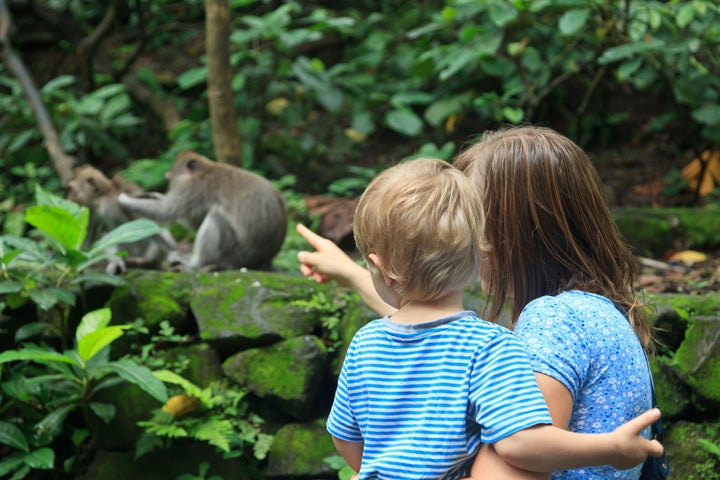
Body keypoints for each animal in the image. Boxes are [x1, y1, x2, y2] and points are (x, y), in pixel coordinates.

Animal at [118, 151, 286, 270]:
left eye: (171, 179)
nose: (169, 181)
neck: (206, 168)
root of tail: (265, 261)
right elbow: (193, 221)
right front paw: (153, 195)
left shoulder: (193, 187)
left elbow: (167, 211)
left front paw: (125, 199)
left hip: (235, 256)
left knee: (216, 218)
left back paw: (195, 264)